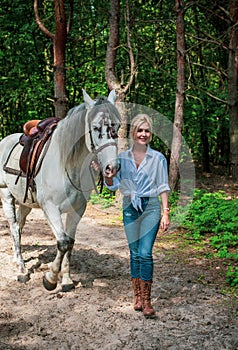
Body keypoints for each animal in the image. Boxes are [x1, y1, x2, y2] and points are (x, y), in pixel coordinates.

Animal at [0, 89, 120, 290]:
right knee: (14, 226)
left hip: (25, 201)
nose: (113, 167)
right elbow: (62, 242)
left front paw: (66, 279)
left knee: (20, 225)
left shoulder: (78, 209)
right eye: (96, 128)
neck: (67, 164)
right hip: (6, 195)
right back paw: (22, 270)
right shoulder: (50, 208)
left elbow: (70, 243)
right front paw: (50, 278)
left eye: (117, 127)